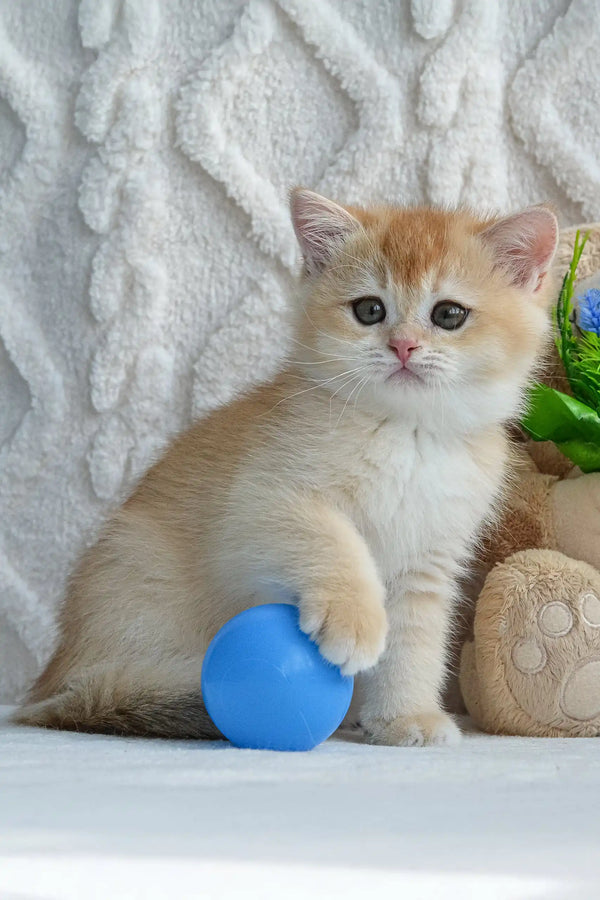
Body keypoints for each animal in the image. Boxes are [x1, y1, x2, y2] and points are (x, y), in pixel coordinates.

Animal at [16, 188, 560, 744]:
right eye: (369, 309)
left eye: (449, 314)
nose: (403, 346)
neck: (407, 434)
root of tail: (52, 681)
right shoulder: (262, 499)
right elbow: (334, 542)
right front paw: (355, 619)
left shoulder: (426, 563)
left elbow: (414, 646)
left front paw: (404, 717)